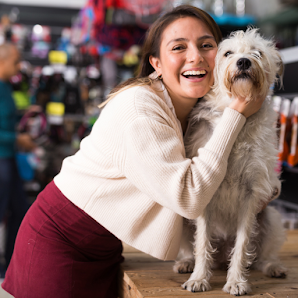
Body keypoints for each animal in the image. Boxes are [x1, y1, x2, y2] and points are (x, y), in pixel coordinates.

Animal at [173, 28, 288, 296]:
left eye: (257, 52)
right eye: (227, 53)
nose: (244, 62)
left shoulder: (252, 194)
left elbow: (243, 243)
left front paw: (236, 281)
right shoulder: (203, 193)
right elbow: (202, 241)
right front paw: (198, 278)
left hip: (271, 218)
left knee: (262, 256)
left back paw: (273, 267)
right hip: (183, 218)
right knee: (192, 247)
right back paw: (186, 263)